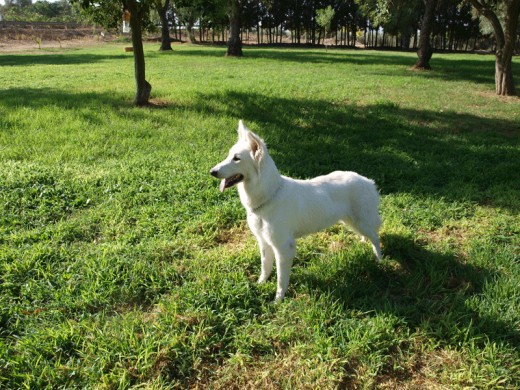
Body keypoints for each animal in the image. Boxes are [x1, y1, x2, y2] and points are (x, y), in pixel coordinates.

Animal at [209, 121, 384, 302]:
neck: (270, 195)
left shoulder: (283, 248)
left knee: (376, 238)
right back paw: (364, 243)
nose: (212, 172)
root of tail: (368, 181)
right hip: (352, 222)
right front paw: (260, 284)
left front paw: (278, 300)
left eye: (236, 159)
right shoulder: (264, 242)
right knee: (369, 235)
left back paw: (379, 260)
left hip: (361, 222)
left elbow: (281, 279)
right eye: (229, 156)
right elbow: (265, 268)